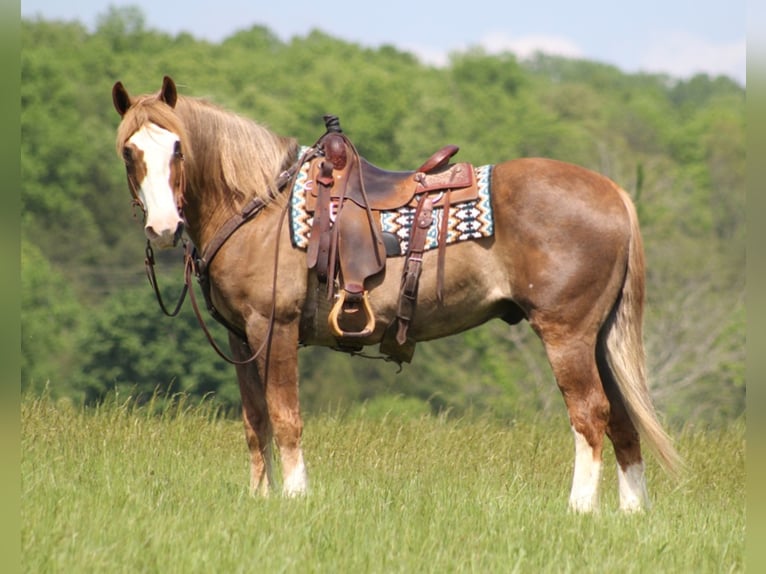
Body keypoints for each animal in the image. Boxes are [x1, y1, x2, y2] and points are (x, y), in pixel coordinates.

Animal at [111, 75, 680, 512]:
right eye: (129, 152)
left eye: (178, 147)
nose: (163, 227)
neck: (260, 204)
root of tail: (612, 192)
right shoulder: (241, 338)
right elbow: (256, 422)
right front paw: (259, 498)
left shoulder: (274, 328)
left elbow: (286, 417)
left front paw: (295, 497)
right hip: (598, 339)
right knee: (622, 420)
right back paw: (631, 513)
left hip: (567, 336)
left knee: (590, 414)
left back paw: (579, 508)